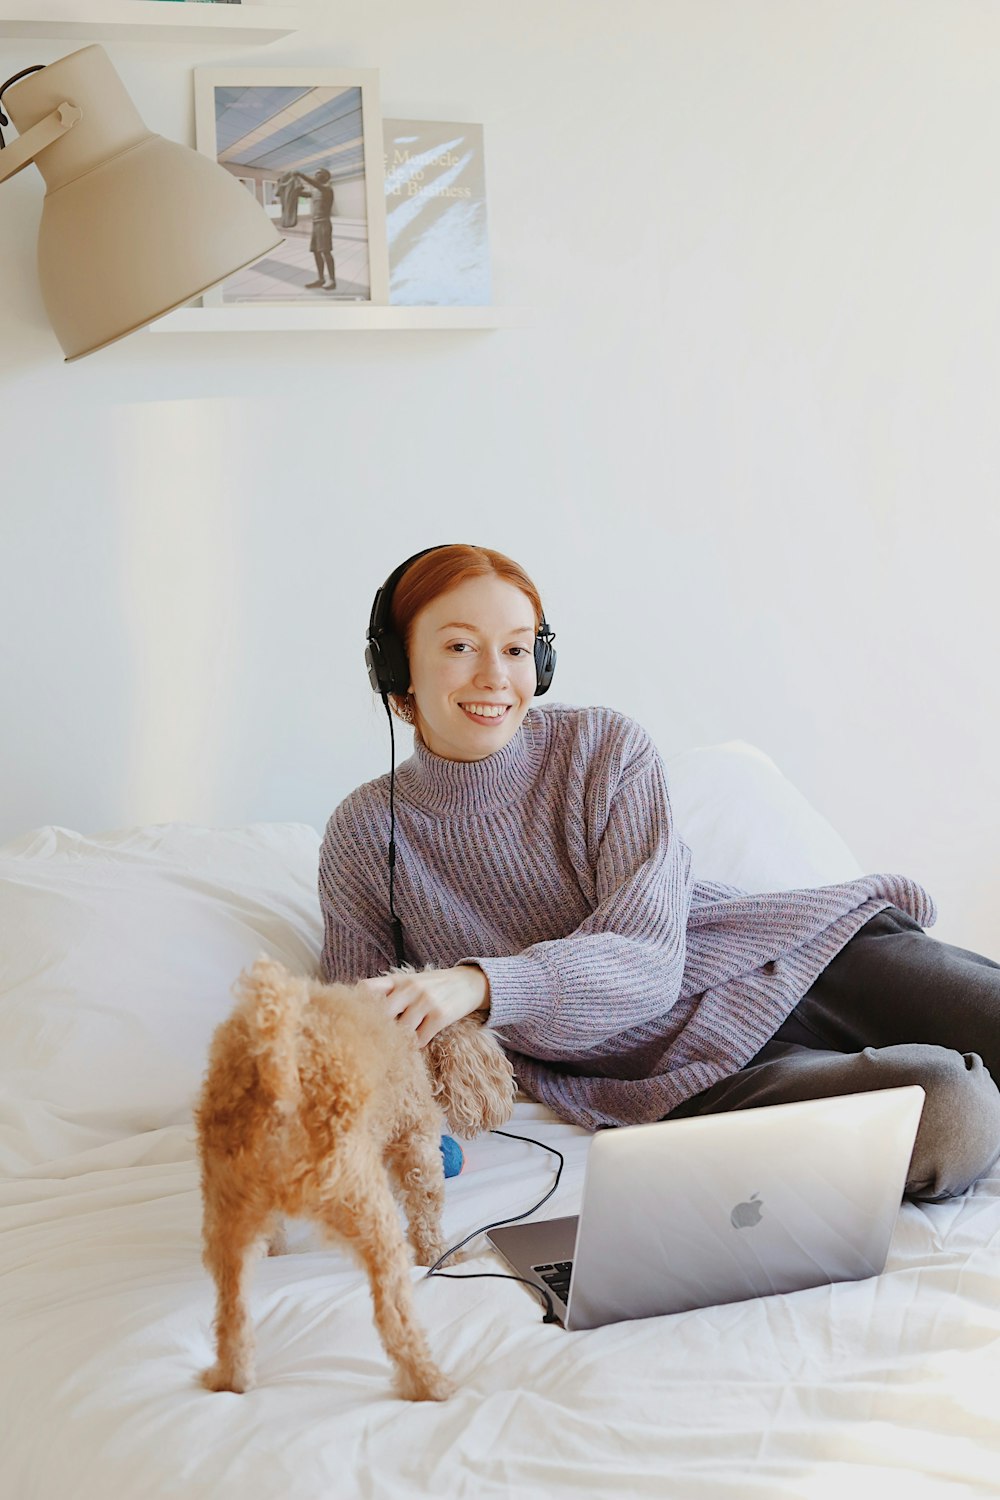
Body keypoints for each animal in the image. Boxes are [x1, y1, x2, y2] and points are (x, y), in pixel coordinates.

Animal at [193, 954, 515, 1398]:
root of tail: (279, 1072)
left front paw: (276, 1249)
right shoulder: (417, 1140)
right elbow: (426, 1210)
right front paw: (441, 1254)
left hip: (226, 1221)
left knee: (231, 1316)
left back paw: (230, 1379)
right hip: (368, 1211)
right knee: (393, 1316)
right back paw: (431, 1384)